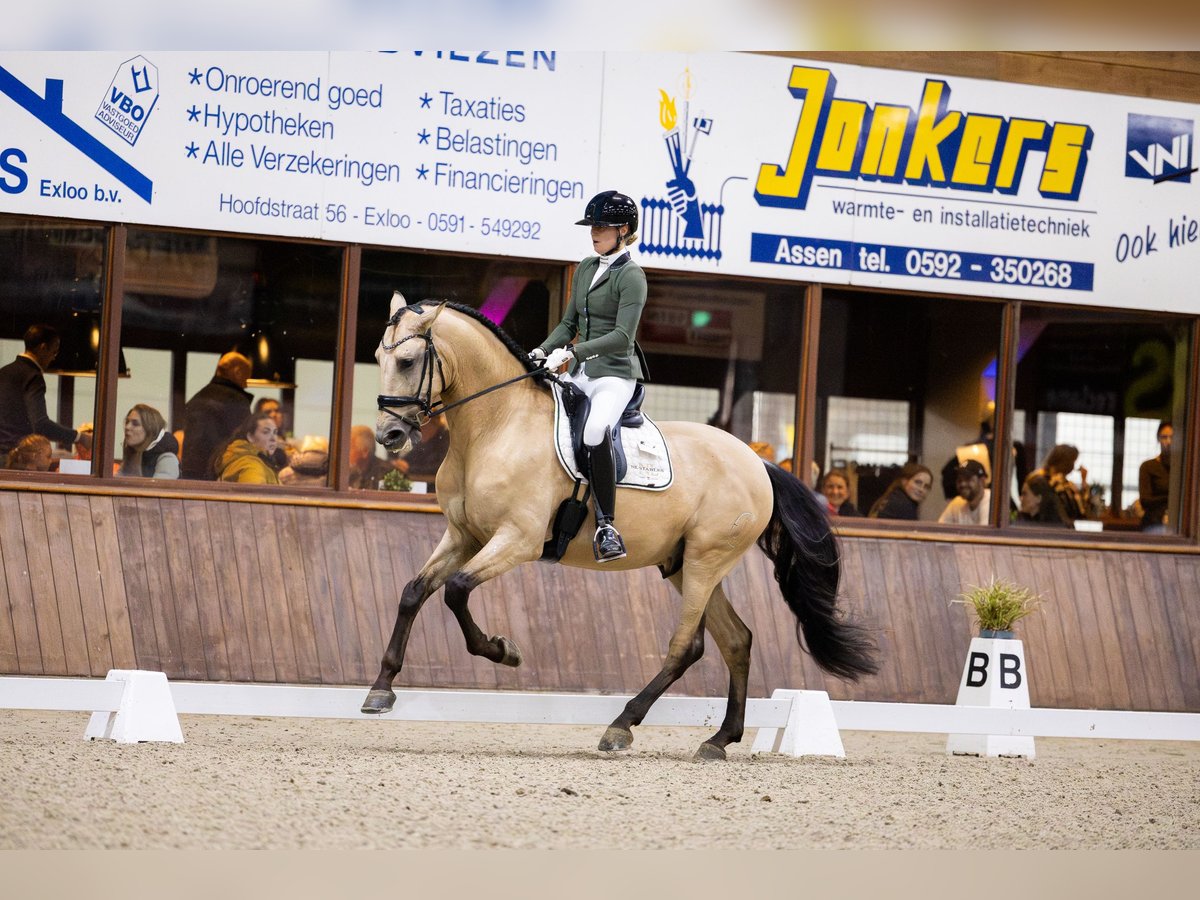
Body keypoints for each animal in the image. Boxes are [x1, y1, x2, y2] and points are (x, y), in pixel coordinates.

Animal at [363, 292, 878, 760]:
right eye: (377, 359)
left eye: (408, 361)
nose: (389, 436)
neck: (495, 426)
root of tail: (757, 462)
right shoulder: (463, 535)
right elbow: (414, 591)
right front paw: (381, 689)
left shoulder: (517, 540)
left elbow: (456, 591)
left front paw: (503, 650)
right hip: (685, 564)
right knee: (735, 640)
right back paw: (718, 740)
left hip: (707, 559)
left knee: (685, 646)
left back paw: (621, 726)